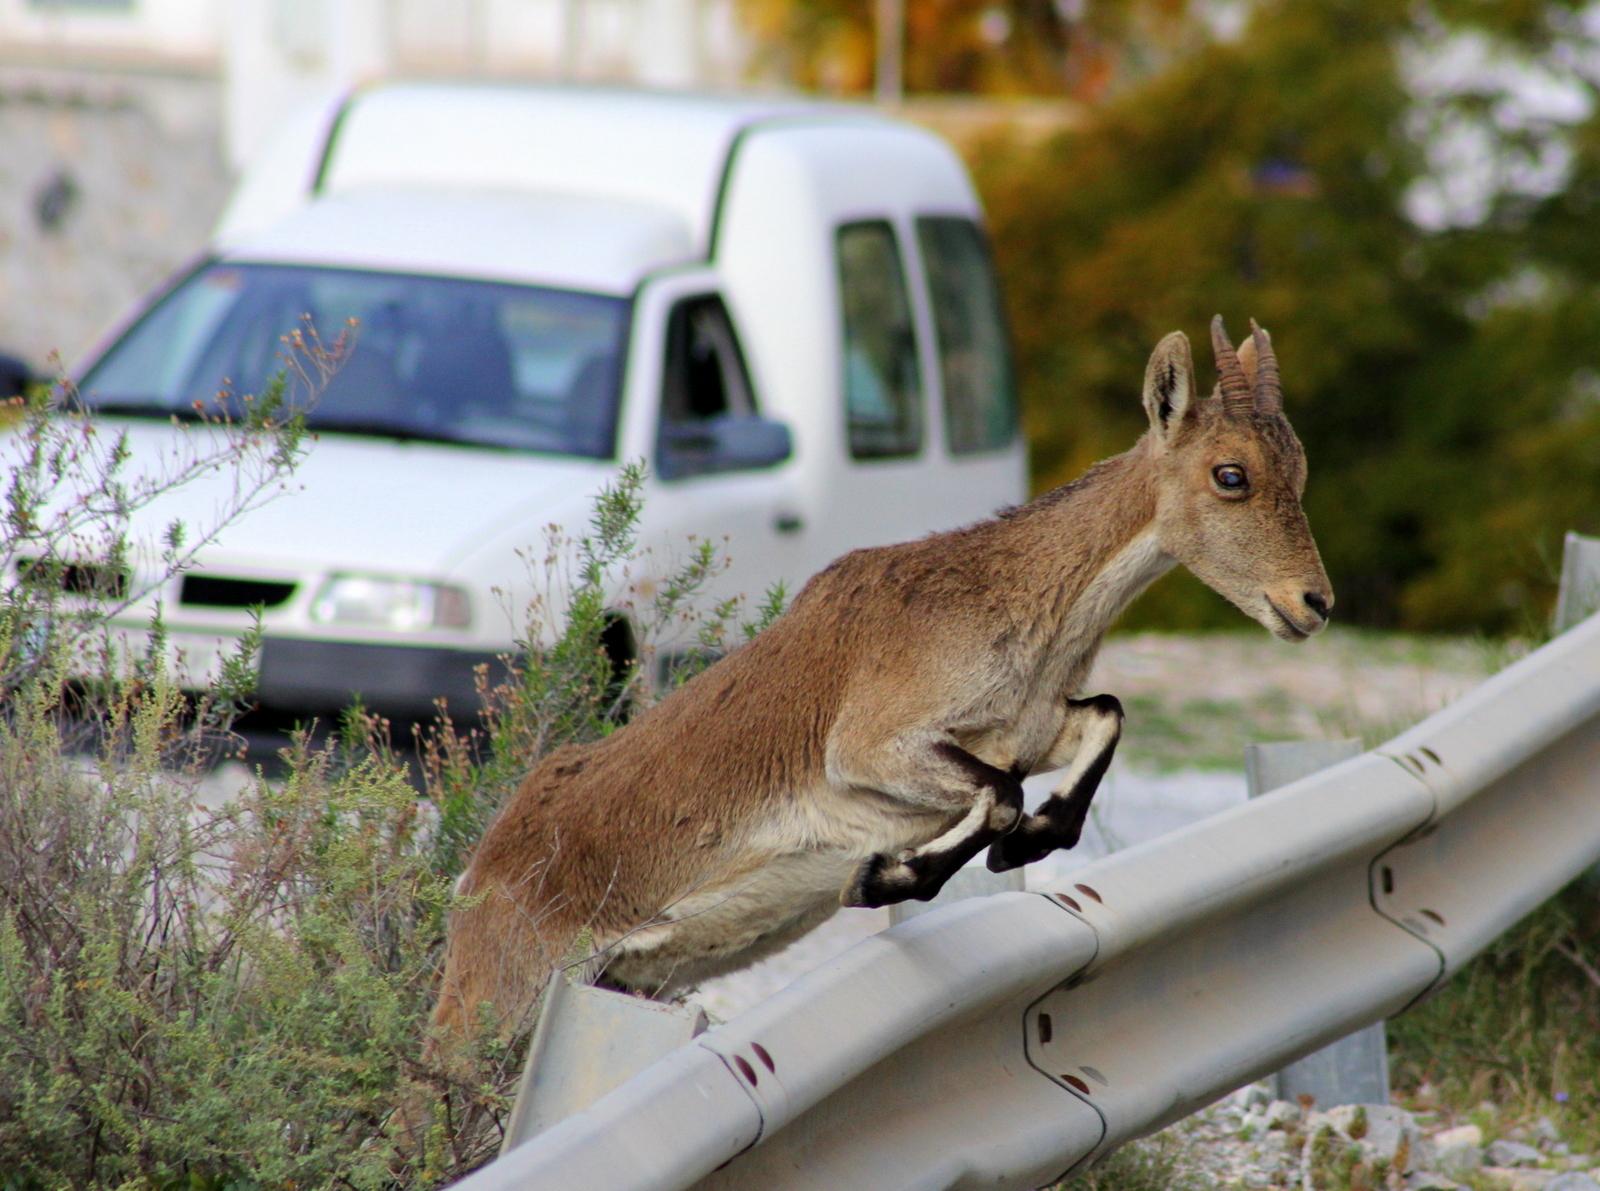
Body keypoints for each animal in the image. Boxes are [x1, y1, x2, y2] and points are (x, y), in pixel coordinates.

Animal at [429, 317, 1333, 1039]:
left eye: (1299, 468)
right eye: (1230, 473)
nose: (1314, 602)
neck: (1009, 597)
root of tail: (481, 868)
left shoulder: (1033, 725)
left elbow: (1100, 718)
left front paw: (1029, 841)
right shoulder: (870, 744)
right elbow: (997, 792)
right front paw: (885, 875)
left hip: (616, 980)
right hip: (498, 994)